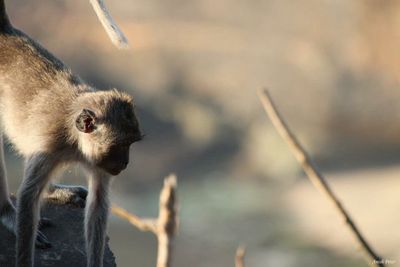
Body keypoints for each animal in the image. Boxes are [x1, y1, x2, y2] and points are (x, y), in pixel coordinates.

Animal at [0, 1, 142, 266]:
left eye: (131, 144)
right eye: (121, 145)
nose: (125, 163)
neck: (74, 141)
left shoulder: (100, 162)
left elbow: (98, 204)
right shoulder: (49, 145)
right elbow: (28, 198)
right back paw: (6, 212)